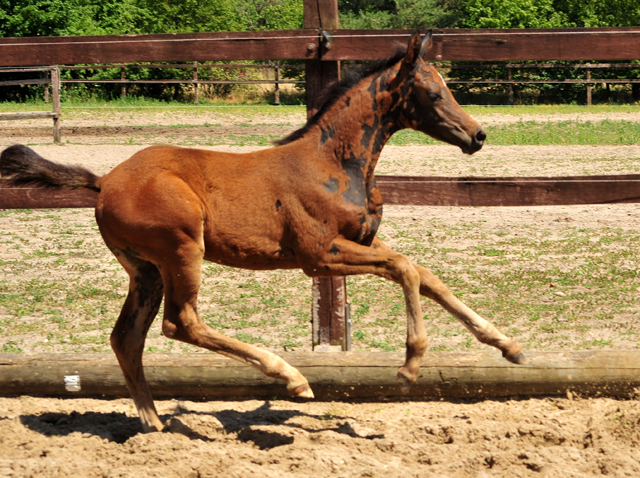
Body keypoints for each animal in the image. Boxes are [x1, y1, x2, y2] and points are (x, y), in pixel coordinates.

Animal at [0, 31, 524, 432]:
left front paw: (508, 346)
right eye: (434, 93)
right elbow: (405, 269)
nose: (477, 135)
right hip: (181, 250)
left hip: (144, 270)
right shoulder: (319, 255)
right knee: (181, 322)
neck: (334, 163)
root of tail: (104, 180)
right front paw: (412, 364)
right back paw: (291, 376)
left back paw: (154, 424)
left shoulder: (358, 242)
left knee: (127, 337)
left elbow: (425, 273)